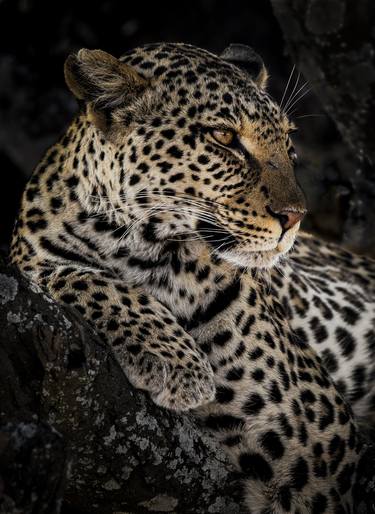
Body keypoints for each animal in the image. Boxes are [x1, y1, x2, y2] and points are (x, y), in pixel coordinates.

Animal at [10, 42, 375, 510]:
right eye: (224, 138)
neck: (141, 248)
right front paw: (178, 362)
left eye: (288, 142)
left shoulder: (324, 449)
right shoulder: (29, 260)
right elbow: (76, 275)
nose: (295, 217)